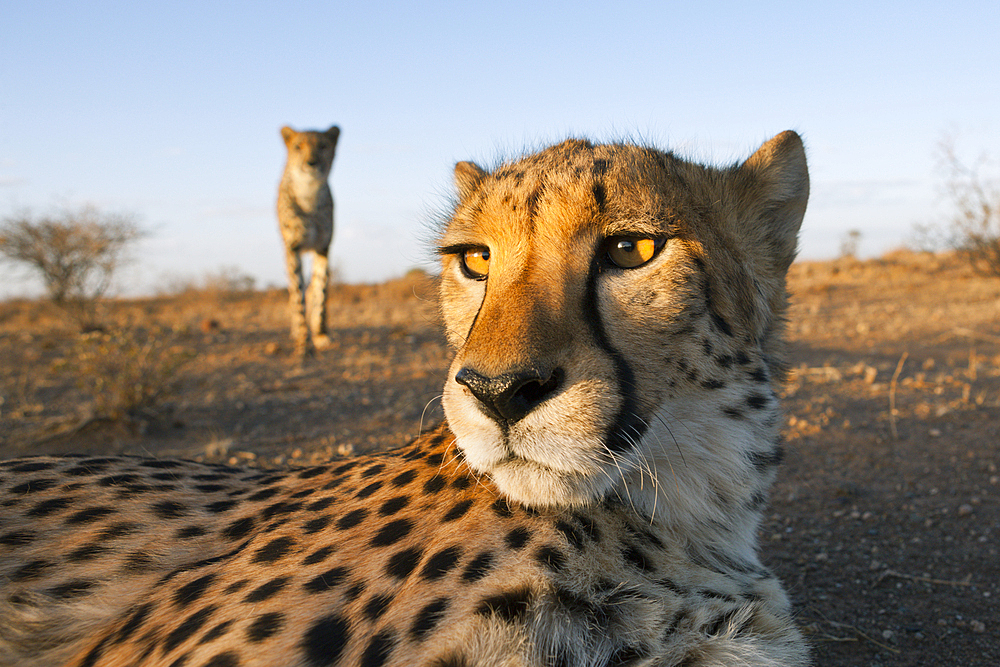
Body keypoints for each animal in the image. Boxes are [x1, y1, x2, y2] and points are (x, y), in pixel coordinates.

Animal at [280, 123, 342, 358]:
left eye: (323, 146)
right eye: (298, 147)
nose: (312, 163)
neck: (309, 193)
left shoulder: (323, 248)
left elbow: (321, 292)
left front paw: (321, 334)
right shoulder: (293, 249)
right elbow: (299, 297)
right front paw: (303, 342)